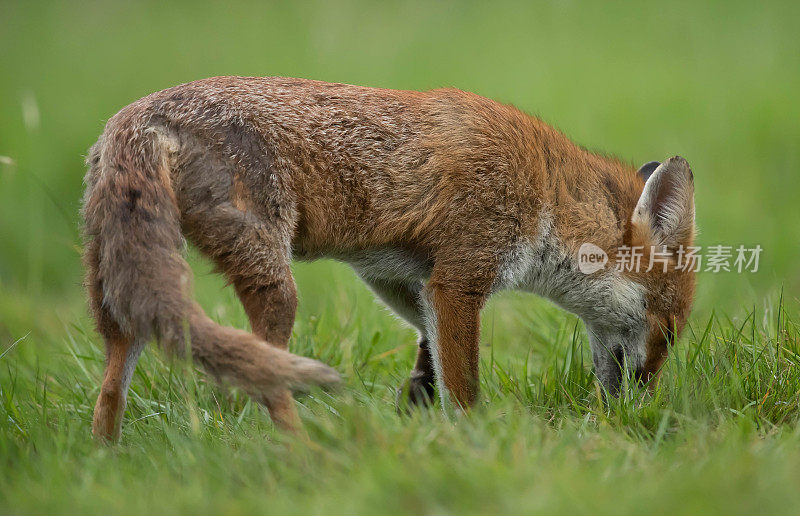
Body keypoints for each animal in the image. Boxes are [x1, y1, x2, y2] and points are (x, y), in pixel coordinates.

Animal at [79, 75, 692, 440]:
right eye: (669, 331)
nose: (643, 412)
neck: (545, 189)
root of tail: (138, 114)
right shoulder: (460, 279)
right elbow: (463, 387)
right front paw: (471, 441)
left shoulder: (397, 275)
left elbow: (428, 348)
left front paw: (416, 402)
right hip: (276, 287)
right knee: (264, 381)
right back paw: (303, 455)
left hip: (120, 299)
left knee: (109, 389)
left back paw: (106, 464)